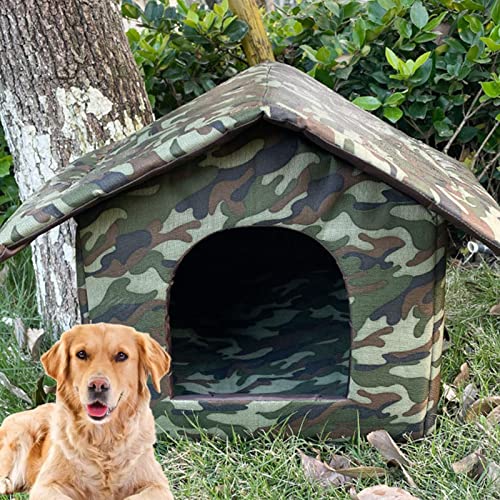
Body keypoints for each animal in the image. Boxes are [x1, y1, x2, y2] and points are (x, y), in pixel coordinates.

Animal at [0, 322, 174, 498]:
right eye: (81, 354)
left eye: (121, 356)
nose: (98, 385)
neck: (102, 437)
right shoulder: (45, 485)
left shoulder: (157, 485)